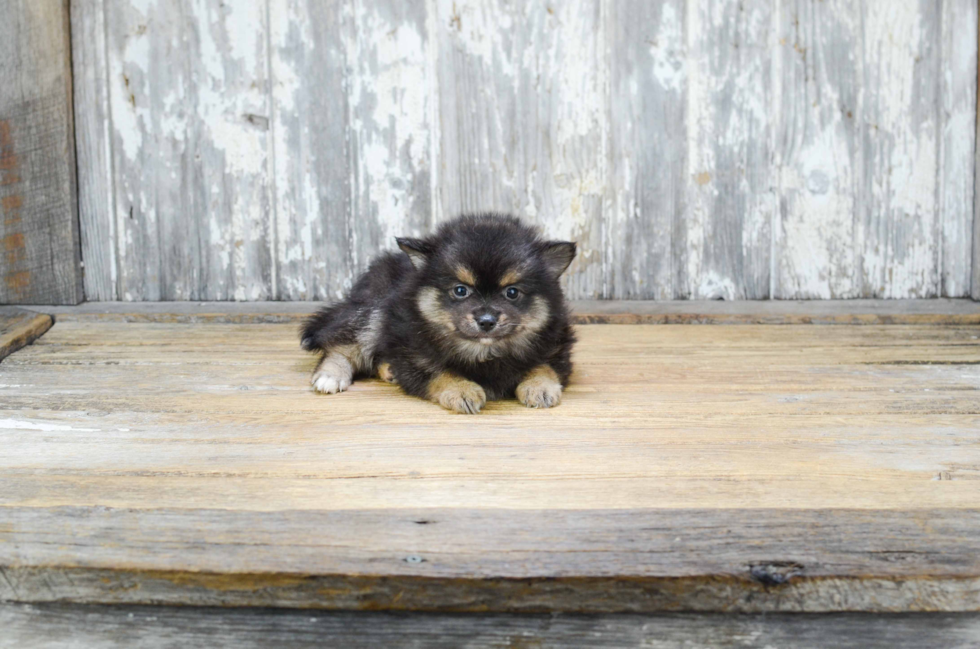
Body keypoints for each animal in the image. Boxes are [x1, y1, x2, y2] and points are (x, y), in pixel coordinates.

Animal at [298, 214, 576, 416]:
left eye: (512, 292)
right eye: (461, 290)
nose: (486, 321)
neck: (484, 352)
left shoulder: (556, 347)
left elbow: (543, 366)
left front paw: (540, 387)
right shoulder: (414, 352)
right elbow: (440, 372)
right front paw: (462, 390)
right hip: (374, 310)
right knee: (344, 344)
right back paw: (331, 375)